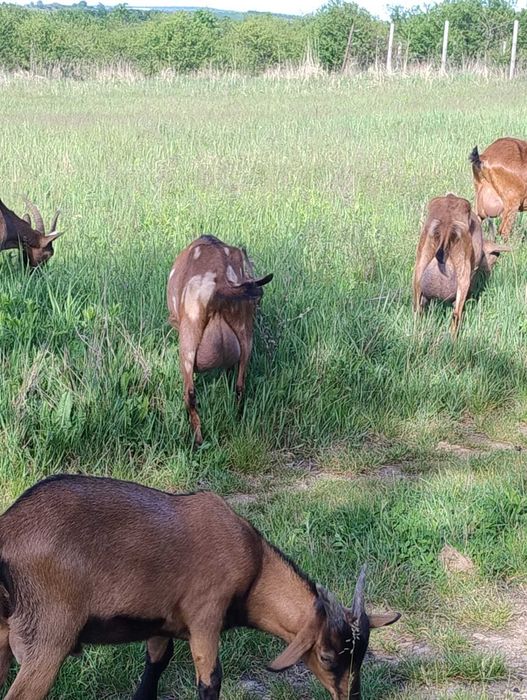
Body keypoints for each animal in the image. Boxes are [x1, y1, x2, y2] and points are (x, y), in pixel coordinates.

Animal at [0, 474, 400, 700]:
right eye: (328, 657)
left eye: (361, 654)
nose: (349, 697)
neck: (255, 568)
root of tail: (7, 534)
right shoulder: (205, 616)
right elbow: (210, 682)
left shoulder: (161, 623)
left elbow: (153, 671)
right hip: (48, 636)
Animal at [167, 235, 273, 445]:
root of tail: (221, 284)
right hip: (245, 335)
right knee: (240, 385)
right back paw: (237, 418)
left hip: (188, 340)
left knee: (190, 394)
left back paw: (198, 440)